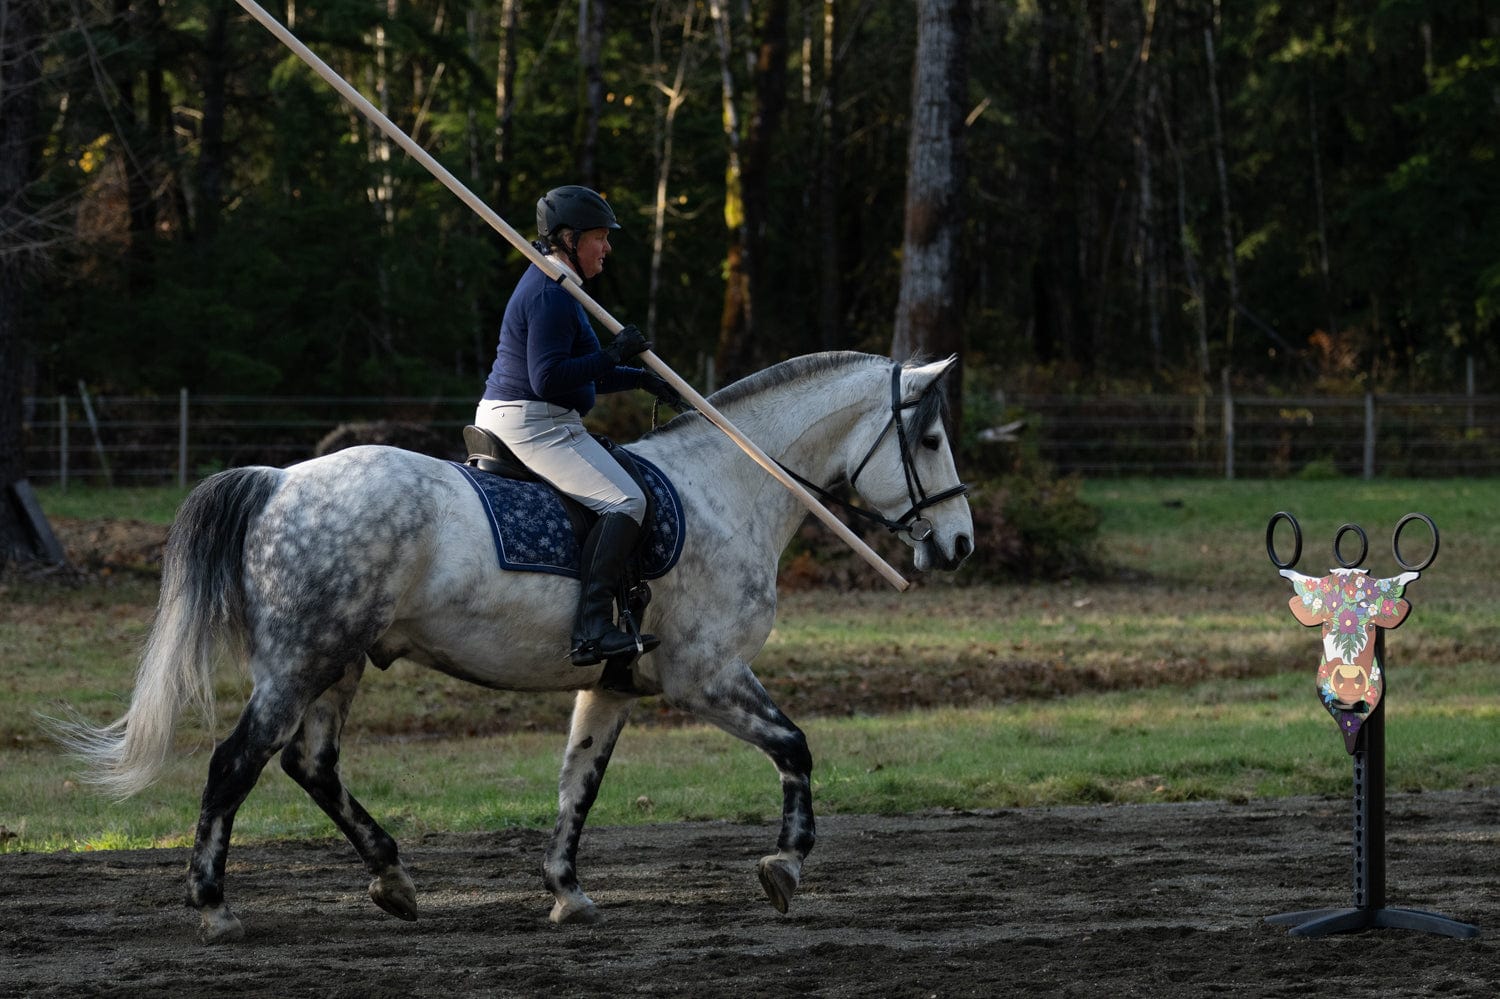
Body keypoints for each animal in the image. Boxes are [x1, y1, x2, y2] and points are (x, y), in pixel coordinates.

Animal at [52, 352, 972, 942]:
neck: (731, 484)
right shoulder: (704, 674)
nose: (959, 542)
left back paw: (393, 876)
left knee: (309, 764)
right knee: (234, 764)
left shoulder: (612, 683)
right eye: (930, 440)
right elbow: (796, 746)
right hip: (299, 663)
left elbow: (578, 783)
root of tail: (280, 480)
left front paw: (567, 891)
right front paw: (786, 864)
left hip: (335, 665)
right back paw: (214, 904)